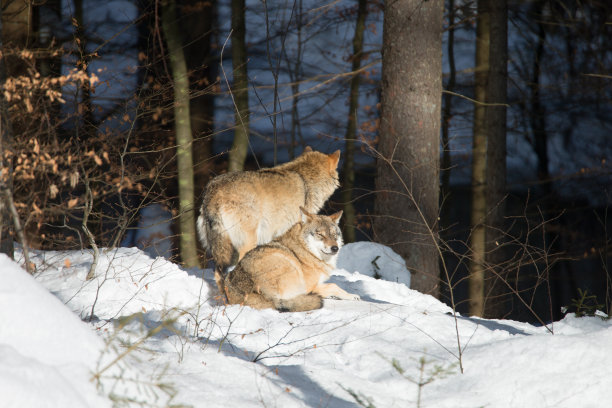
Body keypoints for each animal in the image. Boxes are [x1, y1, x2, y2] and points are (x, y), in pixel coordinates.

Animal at [224, 209, 358, 310]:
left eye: (334, 235)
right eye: (320, 234)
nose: (335, 248)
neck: (306, 250)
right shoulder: (309, 286)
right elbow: (333, 285)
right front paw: (351, 295)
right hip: (290, 268)